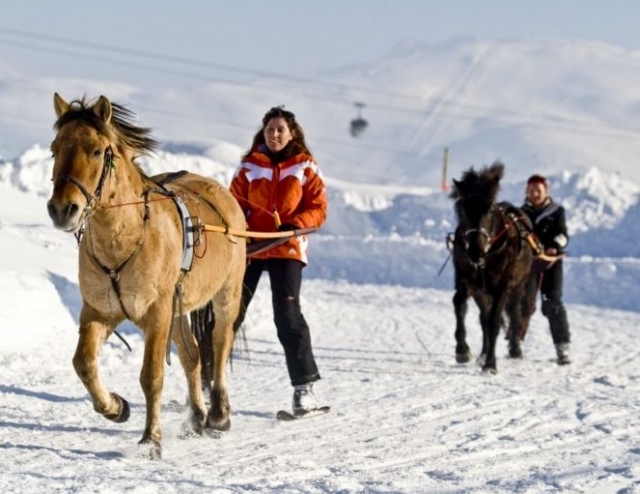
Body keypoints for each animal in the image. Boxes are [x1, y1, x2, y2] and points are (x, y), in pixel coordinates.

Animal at [46, 93, 246, 459]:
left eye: (96, 151)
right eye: (55, 149)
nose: (62, 210)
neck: (123, 237)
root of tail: (221, 192)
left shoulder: (156, 312)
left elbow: (151, 376)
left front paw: (151, 439)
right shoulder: (99, 311)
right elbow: (83, 363)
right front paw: (115, 407)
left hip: (227, 294)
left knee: (220, 343)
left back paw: (218, 415)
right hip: (178, 310)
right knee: (192, 357)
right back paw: (195, 418)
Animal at [449, 162, 535, 373]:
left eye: (489, 209)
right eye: (463, 208)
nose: (476, 251)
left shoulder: (503, 286)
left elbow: (495, 321)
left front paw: (490, 364)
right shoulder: (467, 280)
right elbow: (459, 303)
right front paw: (462, 350)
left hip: (518, 285)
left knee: (513, 312)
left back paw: (514, 349)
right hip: (482, 293)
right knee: (484, 318)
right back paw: (482, 354)